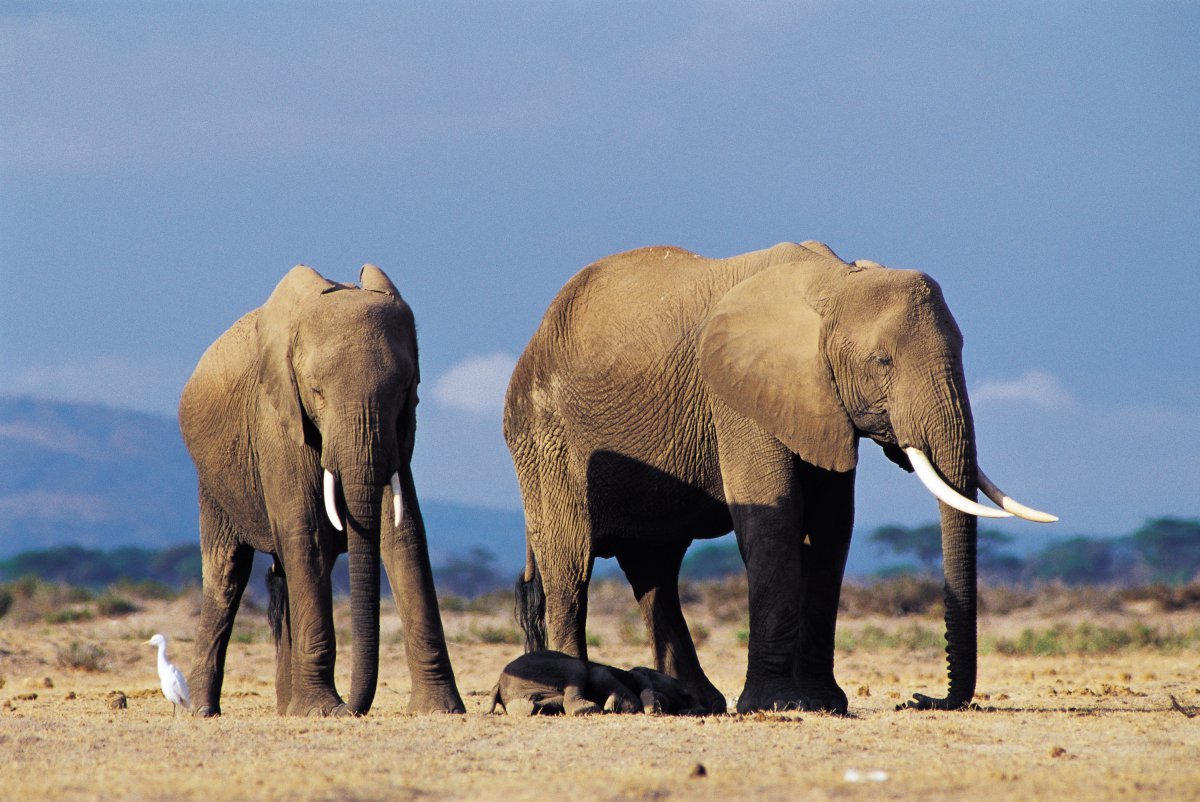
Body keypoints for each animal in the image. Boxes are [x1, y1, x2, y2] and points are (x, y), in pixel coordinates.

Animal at [180, 266, 465, 715]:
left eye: (405, 390)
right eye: (316, 391)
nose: (353, 708)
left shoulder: (399, 438)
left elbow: (404, 536)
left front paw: (440, 709)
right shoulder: (277, 424)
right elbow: (307, 536)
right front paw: (321, 711)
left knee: (283, 574)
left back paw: (286, 708)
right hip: (213, 482)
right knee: (227, 575)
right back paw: (202, 711)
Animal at [484, 653, 700, 715]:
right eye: (676, 684)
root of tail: (498, 683)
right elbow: (600, 676)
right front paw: (614, 705)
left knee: (544, 703)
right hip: (555, 666)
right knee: (576, 669)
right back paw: (589, 708)